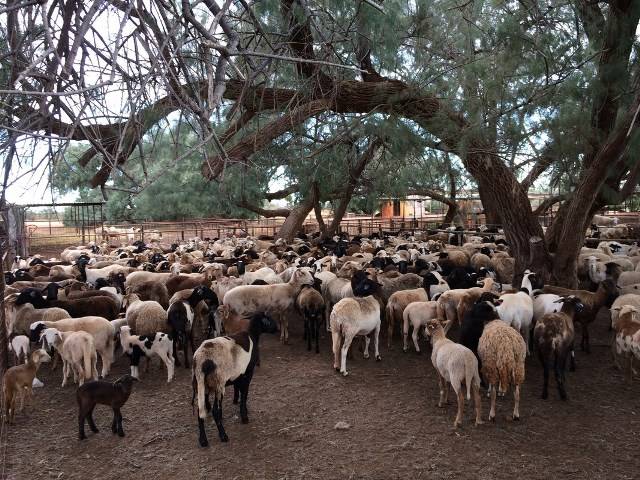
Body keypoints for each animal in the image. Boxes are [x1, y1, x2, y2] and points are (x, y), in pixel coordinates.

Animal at [191, 314, 278, 444]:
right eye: (270, 320)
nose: (277, 329)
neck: (253, 334)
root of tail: (203, 359)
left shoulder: (238, 374)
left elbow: (238, 388)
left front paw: (236, 401)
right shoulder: (248, 373)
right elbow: (245, 393)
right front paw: (244, 416)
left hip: (200, 383)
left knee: (200, 410)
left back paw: (203, 440)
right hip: (218, 383)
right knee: (215, 411)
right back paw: (223, 436)